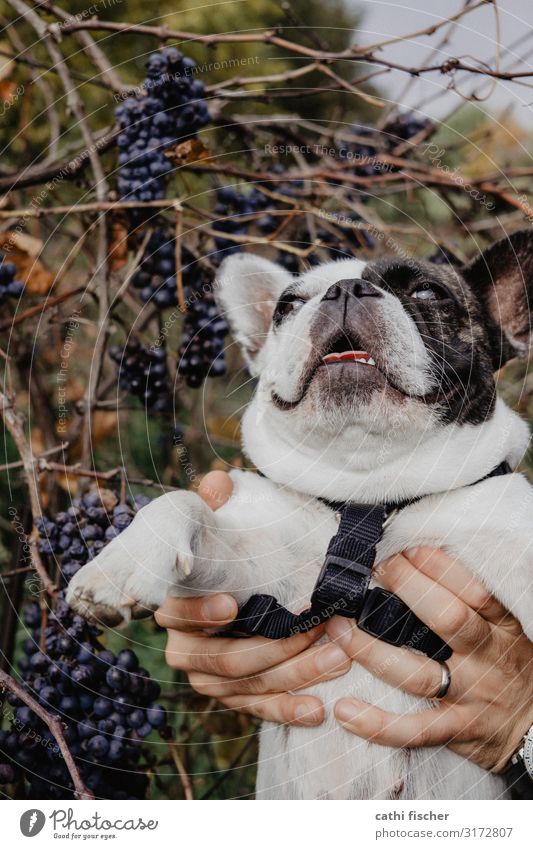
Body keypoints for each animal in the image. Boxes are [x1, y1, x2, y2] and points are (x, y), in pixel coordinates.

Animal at [66, 229, 532, 800]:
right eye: (287, 306)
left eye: (427, 292)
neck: (368, 497)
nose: (345, 289)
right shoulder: (252, 570)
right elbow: (183, 502)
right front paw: (117, 566)